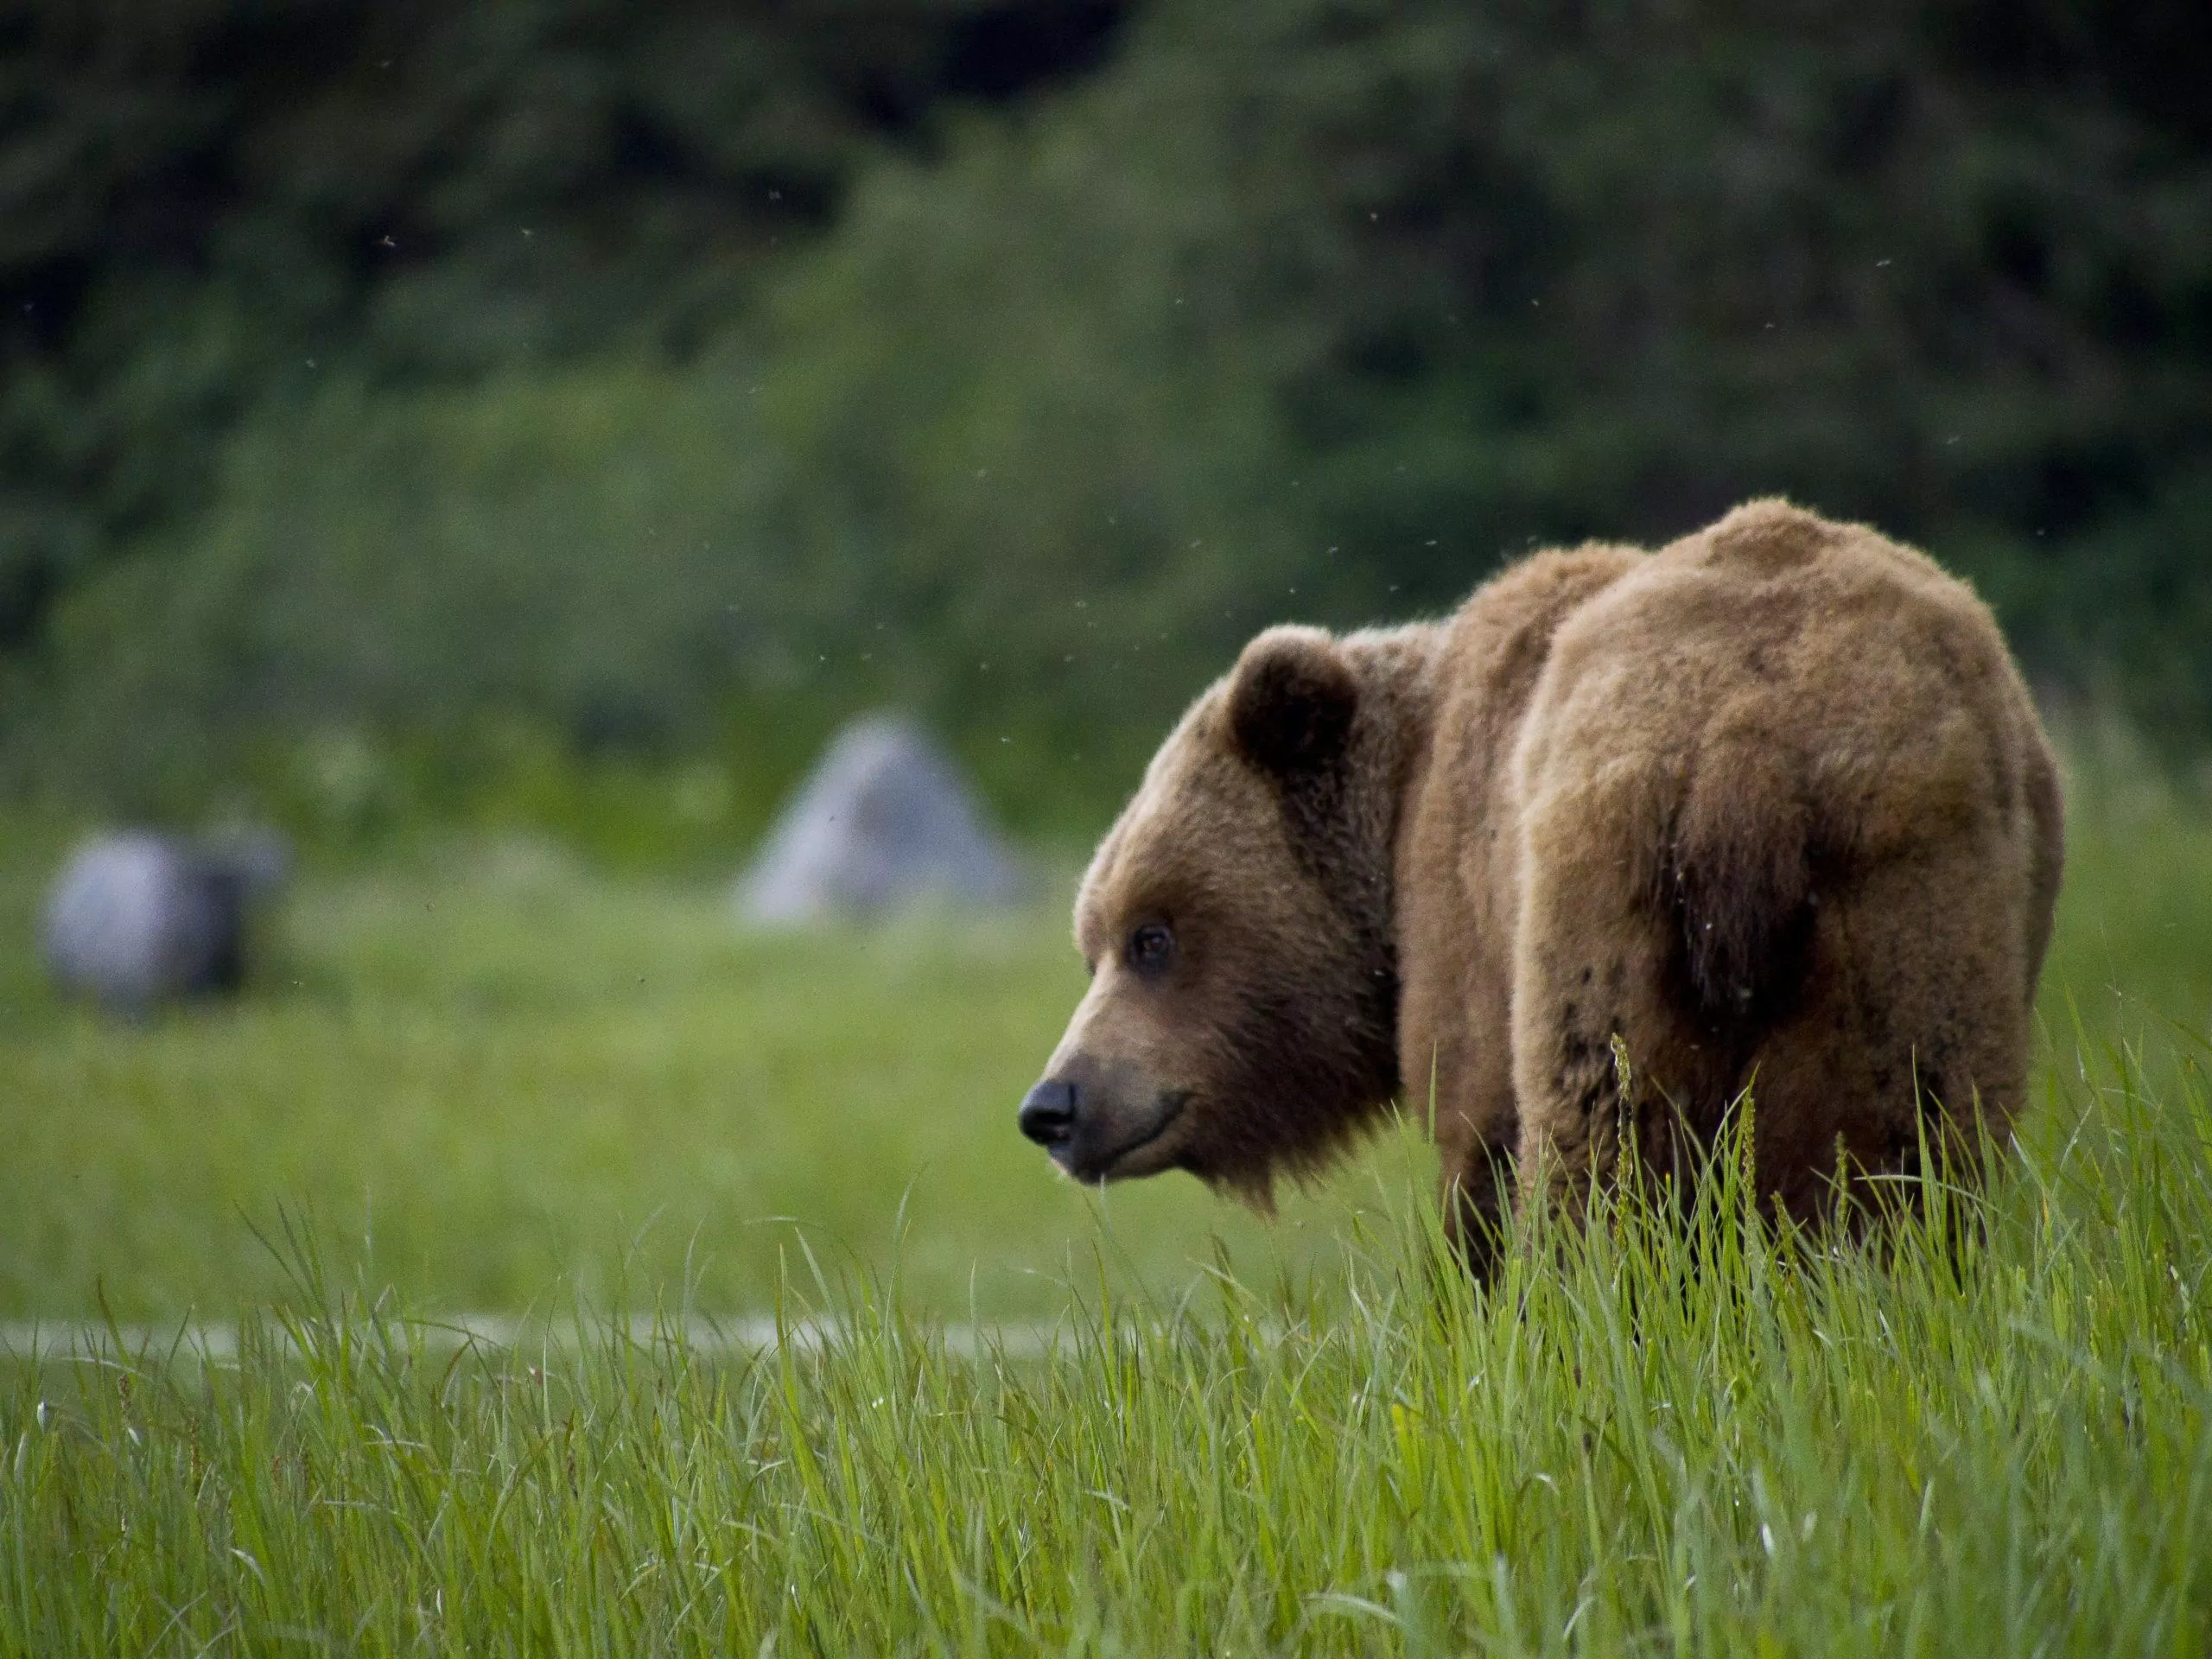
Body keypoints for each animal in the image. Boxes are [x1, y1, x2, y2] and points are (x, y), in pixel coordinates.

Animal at [1026, 498, 2061, 1274]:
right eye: (1092, 943)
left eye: (1152, 935)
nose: (1053, 1105)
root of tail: (1748, 741)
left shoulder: (1467, 926)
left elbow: (1480, 1143)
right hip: (1904, 896)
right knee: (1912, 1139)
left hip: (1605, 890)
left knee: (1602, 1145)